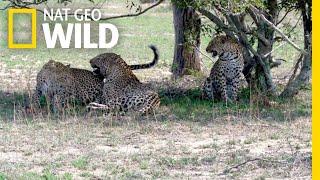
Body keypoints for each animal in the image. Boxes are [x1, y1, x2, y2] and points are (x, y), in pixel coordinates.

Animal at [29, 45, 159, 112]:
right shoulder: (39, 88)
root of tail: (155, 100)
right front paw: (33, 107)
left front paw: (59, 108)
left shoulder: (63, 92)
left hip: (119, 99)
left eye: (100, 57)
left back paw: (91, 106)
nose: (90, 60)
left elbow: (58, 99)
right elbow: (35, 98)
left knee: (112, 107)